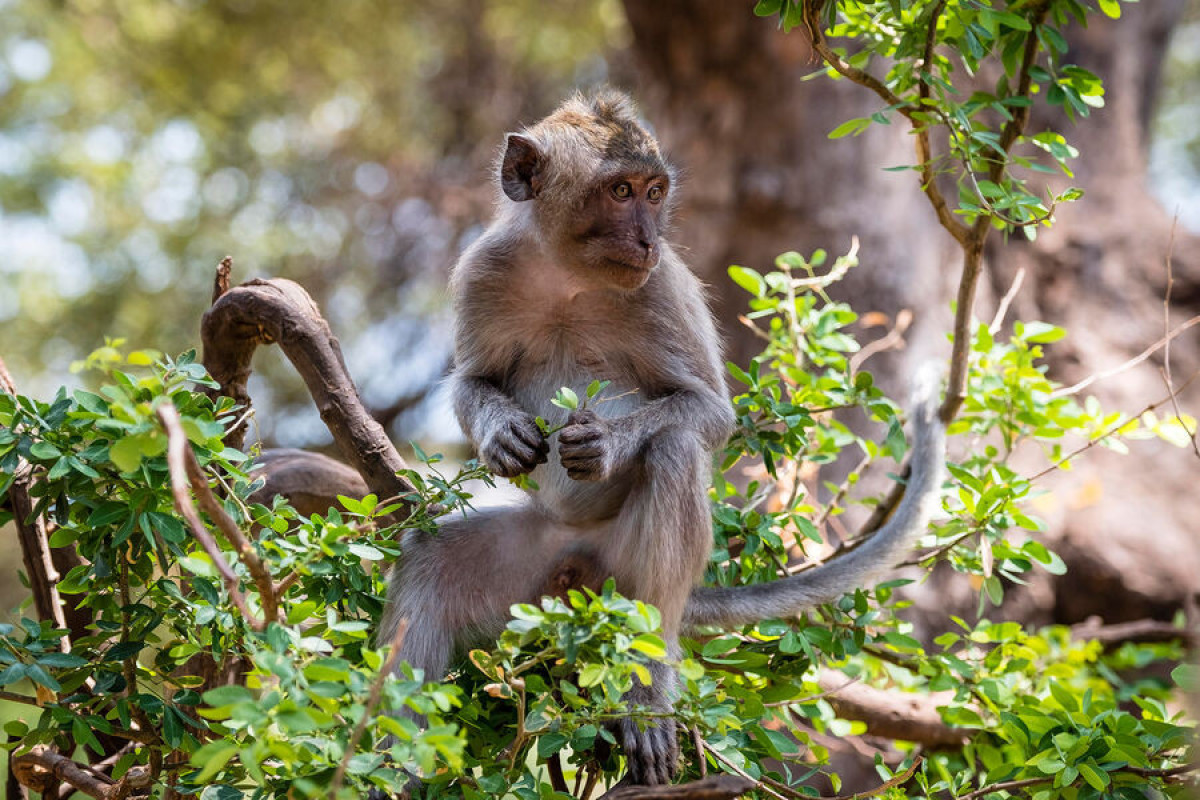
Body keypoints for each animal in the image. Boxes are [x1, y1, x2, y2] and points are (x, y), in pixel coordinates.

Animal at [376, 89, 945, 786]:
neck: (567, 274)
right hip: (531, 568)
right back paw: (392, 768)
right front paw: (501, 434)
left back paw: (647, 686)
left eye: (653, 192)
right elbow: (473, 381)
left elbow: (707, 412)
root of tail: (578, 567)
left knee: (673, 455)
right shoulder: (486, 269)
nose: (648, 236)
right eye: (619, 191)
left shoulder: (661, 285)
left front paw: (607, 444)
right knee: (428, 564)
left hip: (626, 578)